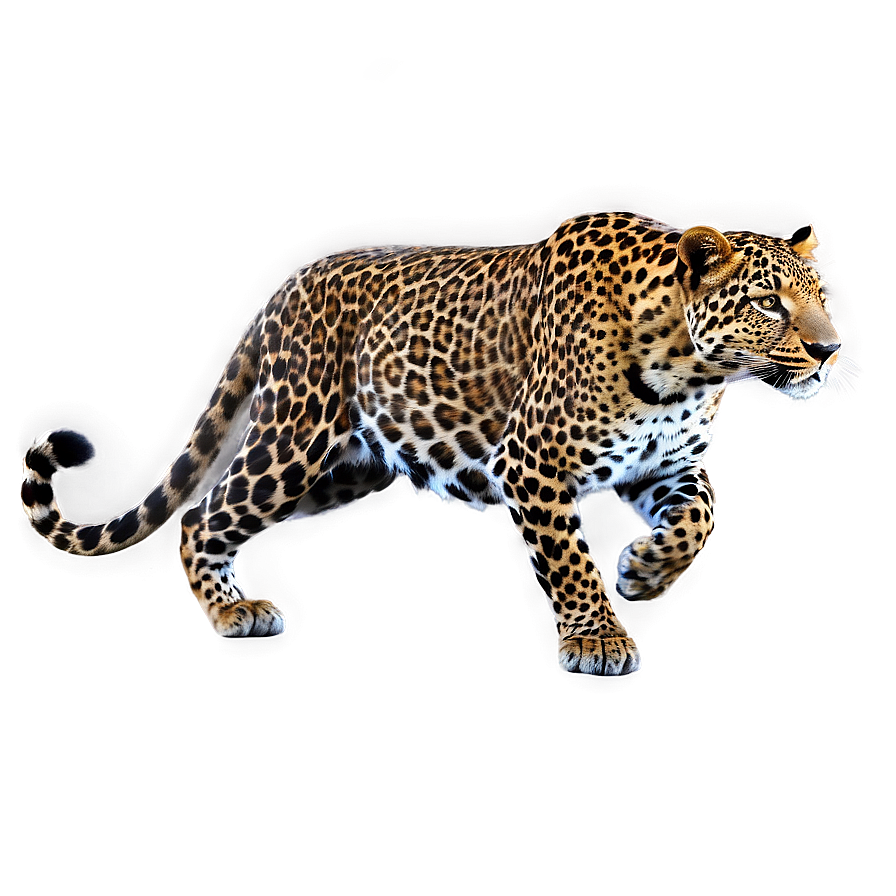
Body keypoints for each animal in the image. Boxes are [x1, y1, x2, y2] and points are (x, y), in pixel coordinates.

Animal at [21, 212, 841, 675]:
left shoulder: (660, 466)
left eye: (820, 298)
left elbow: (702, 515)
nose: (830, 350)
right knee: (201, 514)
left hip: (346, 470)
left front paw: (647, 571)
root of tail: (284, 286)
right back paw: (230, 613)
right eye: (770, 304)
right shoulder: (531, 460)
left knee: (214, 509)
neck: (691, 369)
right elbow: (569, 560)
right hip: (292, 440)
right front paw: (597, 640)